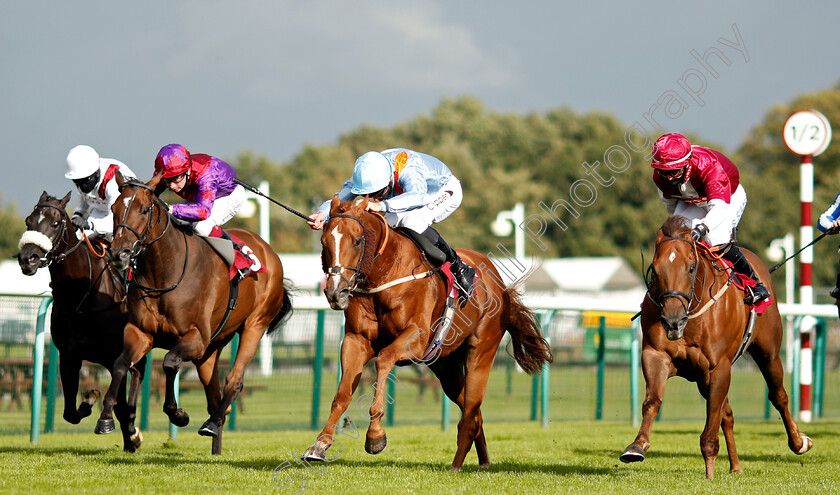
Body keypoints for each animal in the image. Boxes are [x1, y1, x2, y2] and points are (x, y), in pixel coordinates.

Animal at [16, 191, 144, 454]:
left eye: (55, 223)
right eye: (28, 221)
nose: (27, 258)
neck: (81, 296)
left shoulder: (113, 357)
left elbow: (119, 405)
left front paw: (128, 435)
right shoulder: (69, 356)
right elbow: (69, 413)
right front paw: (89, 399)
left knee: (138, 373)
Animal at [94, 173, 292, 454]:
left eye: (144, 209)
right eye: (113, 209)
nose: (118, 253)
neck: (164, 272)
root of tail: (269, 251)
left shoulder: (196, 338)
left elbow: (169, 363)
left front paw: (178, 414)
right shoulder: (140, 332)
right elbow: (121, 364)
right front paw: (106, 418)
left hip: (255, 324)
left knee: (234, 380)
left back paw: (210, 424)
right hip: (211, 349)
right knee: (214, 394)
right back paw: (215, 441)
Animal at [302, 196, 552, 470]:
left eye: (357, 240)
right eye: (324, 241)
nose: (336, 293)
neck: (386, 273)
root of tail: (501, 285)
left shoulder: (416, 340)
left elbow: (384, 358)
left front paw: (375, 436)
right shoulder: (355, 341)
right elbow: (342, 394)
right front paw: (319, 445)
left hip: (481, 350)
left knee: (471, 409)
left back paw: (456, 466)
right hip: (446, 366)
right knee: (472, 411)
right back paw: (483, 461)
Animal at [620, 217, 812, 480]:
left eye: (691, 268)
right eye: (655, 270)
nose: (672, 321)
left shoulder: (718, 367)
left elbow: (712, 416)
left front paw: (709, 472)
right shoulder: (656, 356)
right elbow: (653, 401)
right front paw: (637, 446)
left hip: (768, 353)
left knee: (778, 396)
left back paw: (798, 442)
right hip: (704, 378)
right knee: (727, 414)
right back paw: (736, 466)